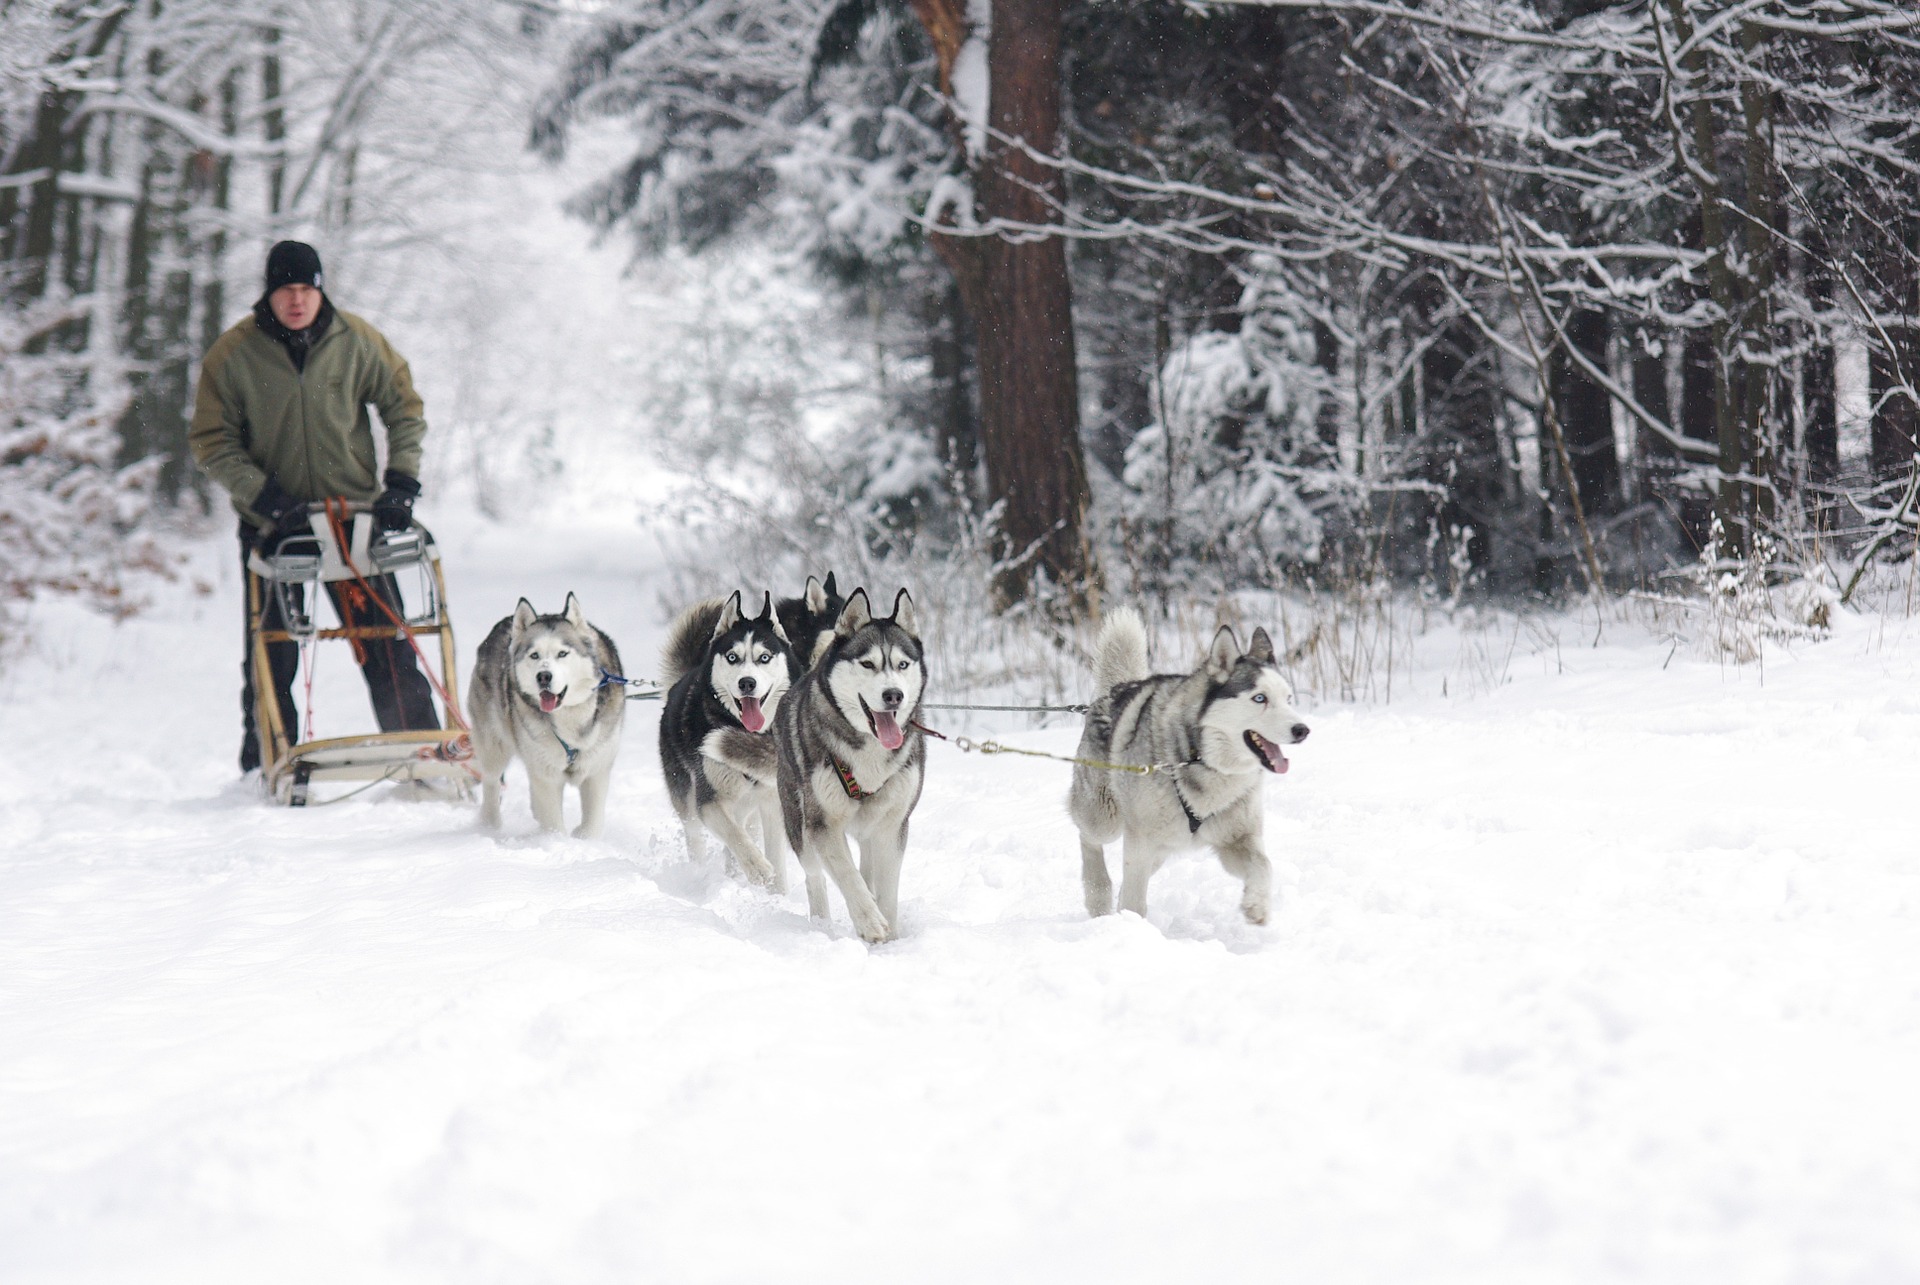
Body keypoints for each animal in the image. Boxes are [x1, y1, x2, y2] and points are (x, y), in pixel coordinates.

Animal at [468, 595, 625, 837]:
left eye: (563, 653)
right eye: (535, 655)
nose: (543, 676)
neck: (570, 717)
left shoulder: (596, 770)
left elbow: (593, 822)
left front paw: (584, 838)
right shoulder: (546, 774)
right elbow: (553, 821)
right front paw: (557, 842)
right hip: (494, 745)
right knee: (492, 781)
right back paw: (489, 824)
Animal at [656, 587, 798, 883]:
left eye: (764, 657)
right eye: (732, 657)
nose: (747, 683)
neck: (746, 732)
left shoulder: (771, 803)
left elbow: (776, 859)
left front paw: (776, 888)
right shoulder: (709, 800)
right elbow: (735, 836)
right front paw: (757, 867)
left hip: (748, 807)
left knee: (744, 830)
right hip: (688, 801)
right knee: (698, 838)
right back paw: (700, 874)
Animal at [718, 587, 933, 937]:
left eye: (902, 664)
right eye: (868, 664)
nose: (893, 695)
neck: (867, 748)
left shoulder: (892, 827)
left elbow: (887, 891)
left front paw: (890, 935)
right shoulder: (822, 825)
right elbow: (846, 875)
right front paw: (870, 922)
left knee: (866, 868)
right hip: (797, 821)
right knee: (816, 875)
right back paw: (822, 923)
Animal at [1075, 610, 1313, 921]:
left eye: (1288, 699)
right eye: (1260, 698)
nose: (1302, 730)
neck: (1203, 760)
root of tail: (1116, 691)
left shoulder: (1236, 839)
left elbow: (1264, 866)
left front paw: (1256, 906)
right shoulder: (1140, 842)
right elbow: (1135, 900)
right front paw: (1133, 926)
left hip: (1163, 847)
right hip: (1106, 818)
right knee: (1088, 838)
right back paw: (1098, 894)